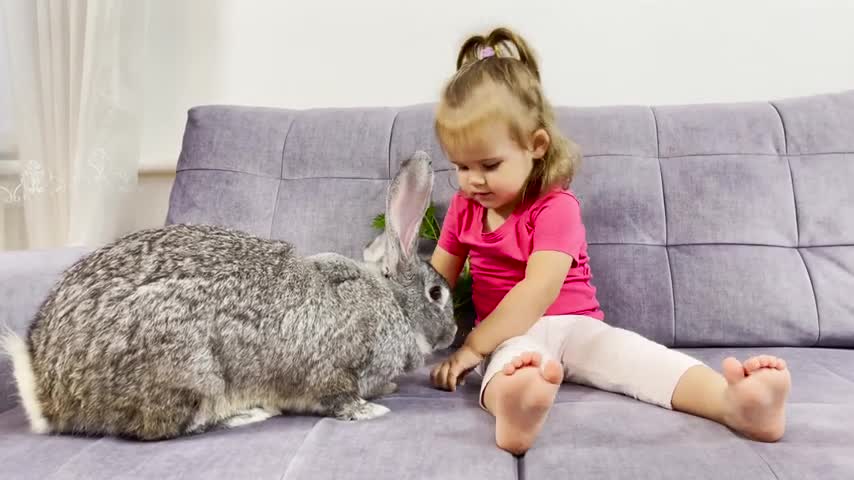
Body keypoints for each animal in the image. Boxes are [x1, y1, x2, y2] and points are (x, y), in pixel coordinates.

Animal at [3, 150, 458, 438]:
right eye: (436, 293)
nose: (453, 334)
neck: (391, 303)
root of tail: (48, 393)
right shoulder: (334, 369)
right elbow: (338, 399)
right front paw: (371, 410)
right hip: (190, 374)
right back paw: (247, 414)